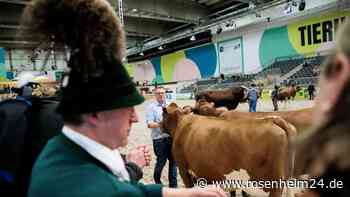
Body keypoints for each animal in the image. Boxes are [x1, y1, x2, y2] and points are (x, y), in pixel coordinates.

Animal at [161, 103, 296, 197]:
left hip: (274, 184)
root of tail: (273, 120)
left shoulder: (183, 169)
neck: (182, 124)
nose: (159, 124)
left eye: (163, 115)